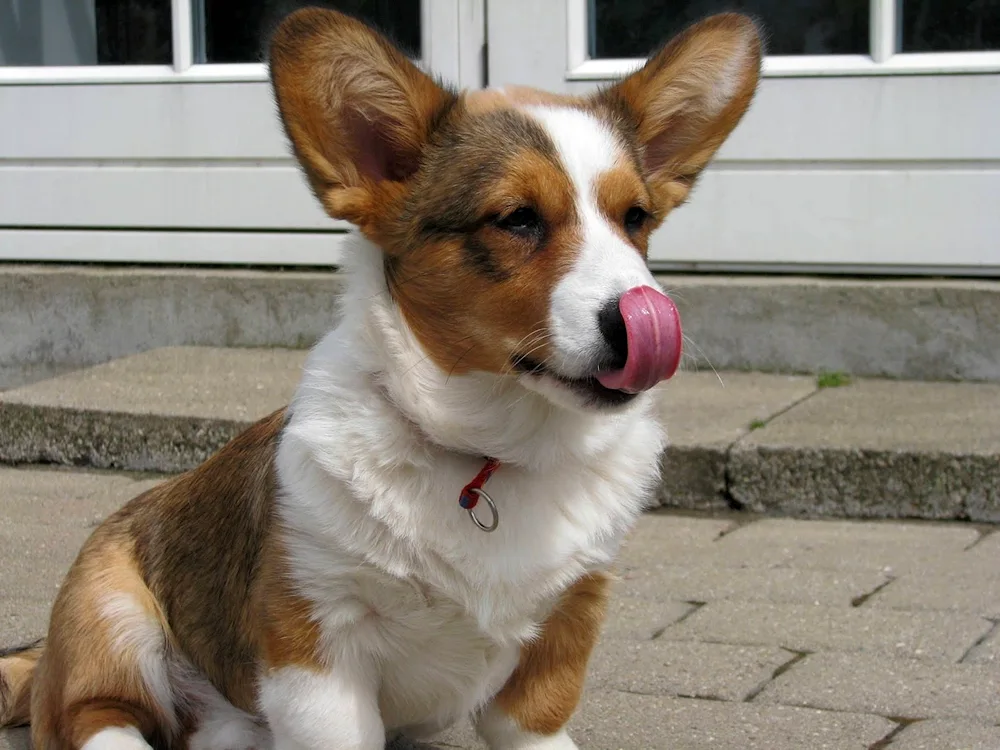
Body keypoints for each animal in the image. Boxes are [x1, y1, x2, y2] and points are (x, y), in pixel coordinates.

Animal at [0, 7, 760, 750]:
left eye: (635, 218)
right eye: (517, 219)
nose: (641, 323)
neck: (493, 452)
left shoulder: (571, 615)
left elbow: (530, 720)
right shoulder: (316, 638)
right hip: (109, 614)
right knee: (95, 715)